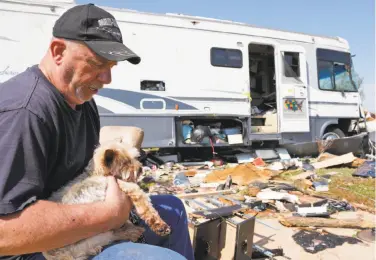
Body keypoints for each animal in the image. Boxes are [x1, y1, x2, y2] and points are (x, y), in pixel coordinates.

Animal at [42, 138, 170, 260]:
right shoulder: (127, 187)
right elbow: (147, 207)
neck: (98, 173)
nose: (140, 169)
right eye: (126, 163)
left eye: (134, 158)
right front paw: (160, 225)